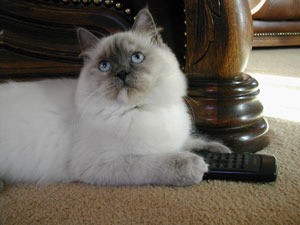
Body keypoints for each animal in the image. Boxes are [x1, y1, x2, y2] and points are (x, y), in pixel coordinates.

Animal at [0, 8, 231, 186]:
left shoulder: (174, 138)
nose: (121, 73)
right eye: (105, 66)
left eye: (136, 57)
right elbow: (155, 162)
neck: (142, 108)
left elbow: (192, 141)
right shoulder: (107, 162)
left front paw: (222, 151)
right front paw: (196, 165)